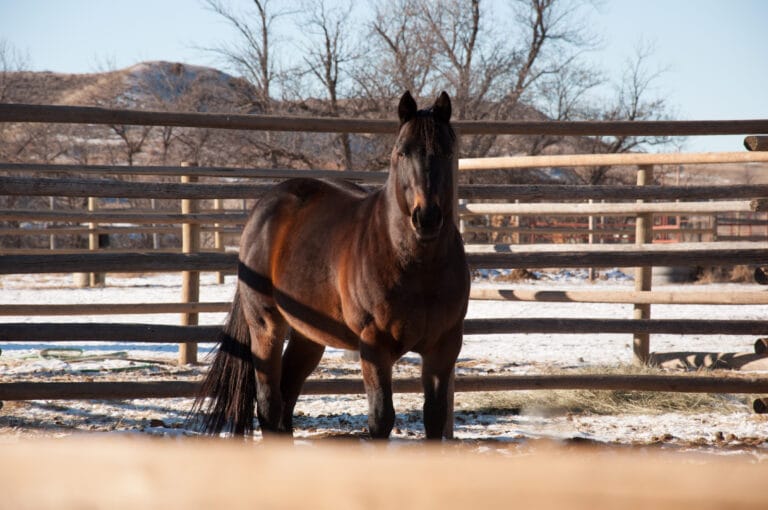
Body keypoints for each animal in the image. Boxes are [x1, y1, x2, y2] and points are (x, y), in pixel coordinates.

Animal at [192, 91, 470, 440]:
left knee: (285, 402)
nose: (427, 218)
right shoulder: (375, 346)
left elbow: (434, 418)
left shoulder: (443, 347)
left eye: (446, 152)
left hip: (308, 335)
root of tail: (264, 207)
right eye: (402, 152)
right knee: (269, 405)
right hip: (266, 325)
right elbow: (381, 418)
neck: (419, 266)